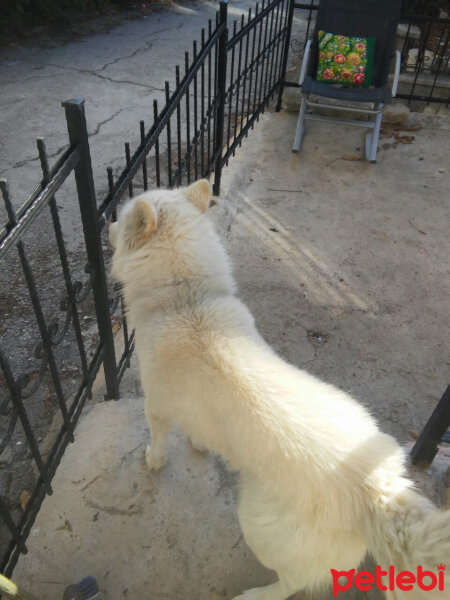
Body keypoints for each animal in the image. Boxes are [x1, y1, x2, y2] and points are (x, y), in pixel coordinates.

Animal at [110, 180, 450, 596]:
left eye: (122, 217)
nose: (107, 226)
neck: (184, 297)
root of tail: (376, 489)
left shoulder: (156, 405)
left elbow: (158, 441)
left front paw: (153, 461)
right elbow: (199, 433)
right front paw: (199, 444)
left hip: (258, 523)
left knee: (292, 583)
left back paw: (255, 594)